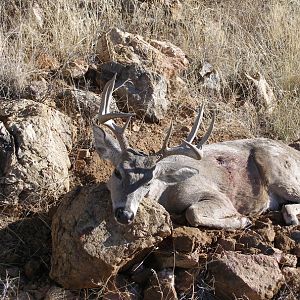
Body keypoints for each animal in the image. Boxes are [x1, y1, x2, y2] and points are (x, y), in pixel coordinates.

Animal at [92, 75, 298, 230]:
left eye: (148, 182)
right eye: (117, 172)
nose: (125, 214)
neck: (166, 191)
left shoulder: (217, 196)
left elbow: (192, 212)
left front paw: (243, 220)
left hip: (280, 173)